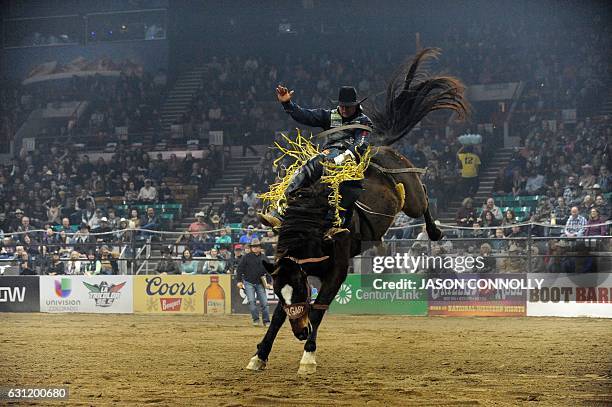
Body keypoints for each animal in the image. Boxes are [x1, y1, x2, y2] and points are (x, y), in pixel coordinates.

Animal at [244, 48, 468, 376]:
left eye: (299, 290)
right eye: (281, 291)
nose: (299, 333)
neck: (316, 229)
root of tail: (379, 147)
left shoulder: (336, 272)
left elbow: (319, 310)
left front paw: (308, 356)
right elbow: (277, 316)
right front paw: (259, 355)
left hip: (412, 196)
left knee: (425, 200)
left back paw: (436, 231)